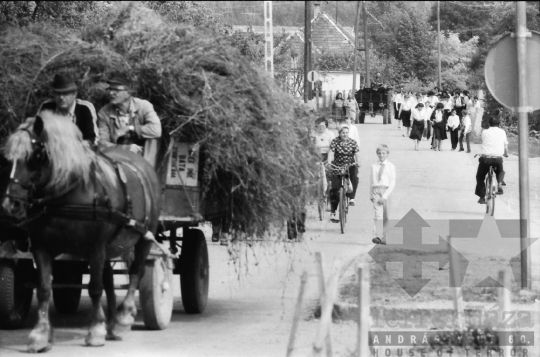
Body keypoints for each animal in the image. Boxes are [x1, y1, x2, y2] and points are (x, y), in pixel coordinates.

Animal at [2, 112, 162, 352]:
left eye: (36, 156)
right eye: (8, 159)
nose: (11, 205)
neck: (68, 194)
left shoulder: (95, 247)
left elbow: (95, 287)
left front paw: (95, 330)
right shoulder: (41, 246)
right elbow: (44, 288)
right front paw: (40, 334)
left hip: (145, 236)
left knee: (136, 271)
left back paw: (123, 317)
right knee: (109, 280)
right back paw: (111, 326)